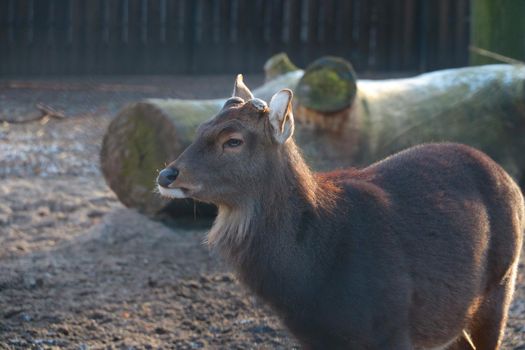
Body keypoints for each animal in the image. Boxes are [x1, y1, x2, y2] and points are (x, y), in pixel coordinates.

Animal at [157, 75, 524, 348]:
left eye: (233, 140)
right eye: (201, 128)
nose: (166, 174)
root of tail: (510, 179)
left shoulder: (393, 328)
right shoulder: (315, 337)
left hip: (500, 285)